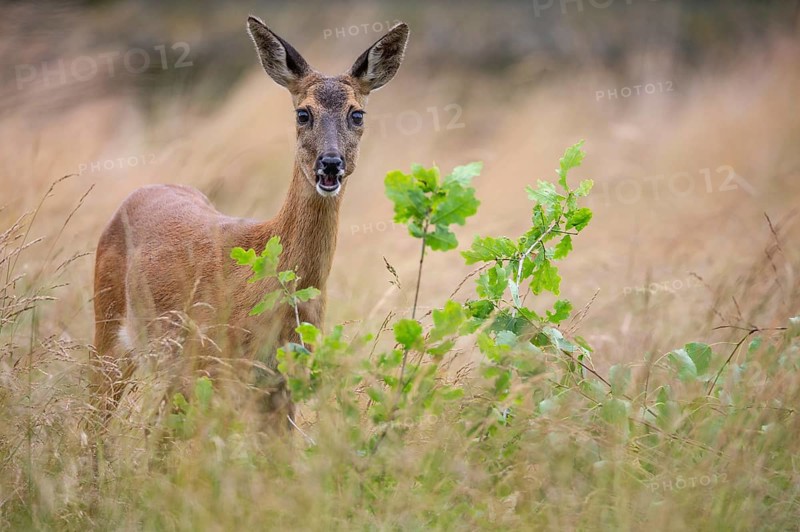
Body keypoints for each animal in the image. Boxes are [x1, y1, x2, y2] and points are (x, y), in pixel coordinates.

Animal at [89, 16, 409, 430]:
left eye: (357, 114)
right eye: (302, 113)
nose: (330, 163)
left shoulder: (281, 381)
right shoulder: (211, 368)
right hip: (111, 331)